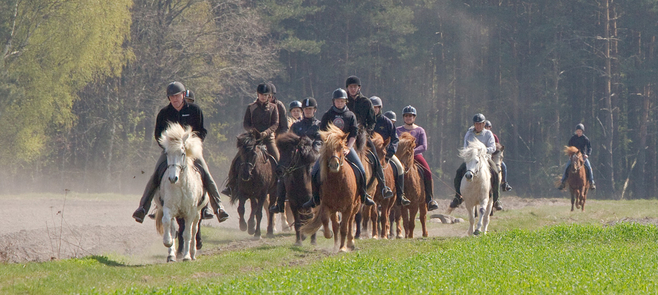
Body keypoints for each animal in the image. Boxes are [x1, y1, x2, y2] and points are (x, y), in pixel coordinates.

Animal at [153, 123, 206, 262]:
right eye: (167, 153)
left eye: (182, 153)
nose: (172, 178)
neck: (181, 185)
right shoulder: (168, 208)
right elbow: (168, 224)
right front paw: (168, 243)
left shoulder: (190, 212)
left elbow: (187, 234)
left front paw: (186, 256)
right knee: (174, 229)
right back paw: (172, 254)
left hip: (197, 213)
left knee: (194, 230)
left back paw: (192, 253)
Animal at [302, 124, 358, 252]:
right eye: (327, 148)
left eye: (341, 147)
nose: (334, 165)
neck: (338, 182)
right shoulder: (327, 204)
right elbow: (326, 221)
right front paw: (331, 237)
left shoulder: (348, 207)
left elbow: (344, 227)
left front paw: (342, 248)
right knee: (335, 224)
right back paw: (336, 244)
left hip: (355, 205)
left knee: (350, 221)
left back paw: (350, 243)